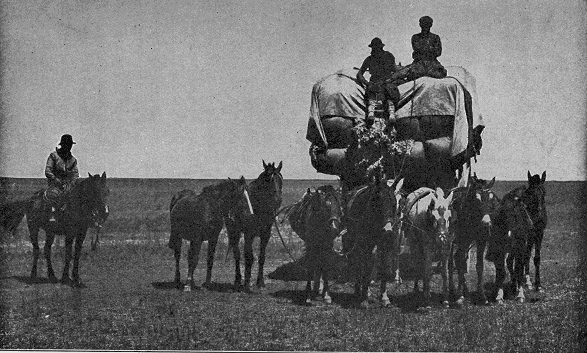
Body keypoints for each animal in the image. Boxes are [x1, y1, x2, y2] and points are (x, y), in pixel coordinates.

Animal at [226, 161, 284, 290]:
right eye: (268, 179)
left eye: (281, 180)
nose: (278, 200)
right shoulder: (249, 234)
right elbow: (249, 257)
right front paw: (247, 284)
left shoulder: (265, 235)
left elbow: (262, 257)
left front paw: (260, 282)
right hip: (233, 231)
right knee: (237, 254)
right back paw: (238, 280)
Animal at [342, 175, 406, 306]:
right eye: (377, 200)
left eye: (394, 202)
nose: (388, 230)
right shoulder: (365, 244)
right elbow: (366, 269)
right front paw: (365, 297)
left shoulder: (386, 245)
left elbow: (385, 268)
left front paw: (385, 297)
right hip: (354, 240)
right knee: (357, 262)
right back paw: (359, 290)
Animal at [450, 172, 500, 304]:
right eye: (476, 199)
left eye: (492, 198)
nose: (486, 223)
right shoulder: (463, 239)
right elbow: (461, 262)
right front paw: (459, 296)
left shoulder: (481, 240)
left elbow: (479, 266)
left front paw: (482, 295)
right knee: (452, 261)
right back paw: (454, 291)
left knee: (457, 258)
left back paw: (465, 291)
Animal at [484, 170, 548, 302]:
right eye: (530, 192)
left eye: (543, 192)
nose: (539, 214)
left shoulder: (539, 234)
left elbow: (536, 258)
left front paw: (538, 285)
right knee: (512, 260)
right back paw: (517, 284)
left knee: (523, 258)